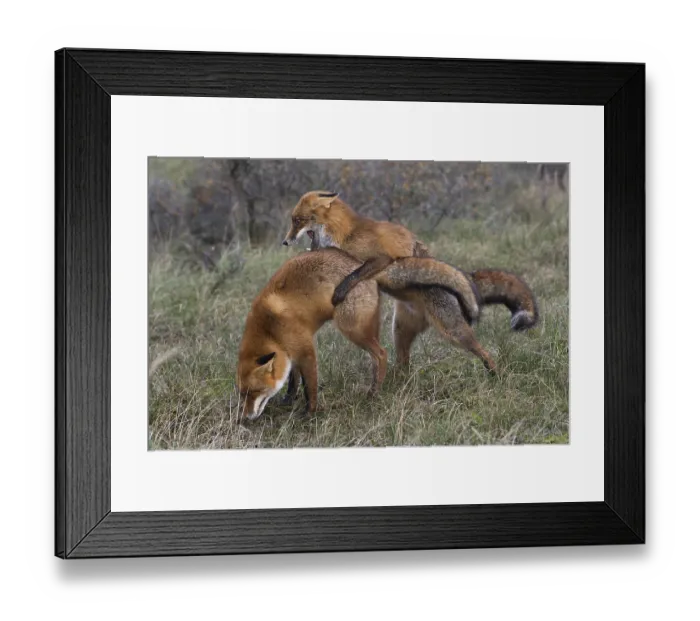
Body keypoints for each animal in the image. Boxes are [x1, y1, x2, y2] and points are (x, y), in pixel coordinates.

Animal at [282, 191, 539, 369]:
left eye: (297, 220)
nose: (284, 242)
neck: (343, 234)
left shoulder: (381, 258)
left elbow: (354, 274)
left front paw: (340, 291)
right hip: (400, 332)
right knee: (403, 365)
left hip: (455, 332)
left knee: (484, 352)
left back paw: (496, 374)